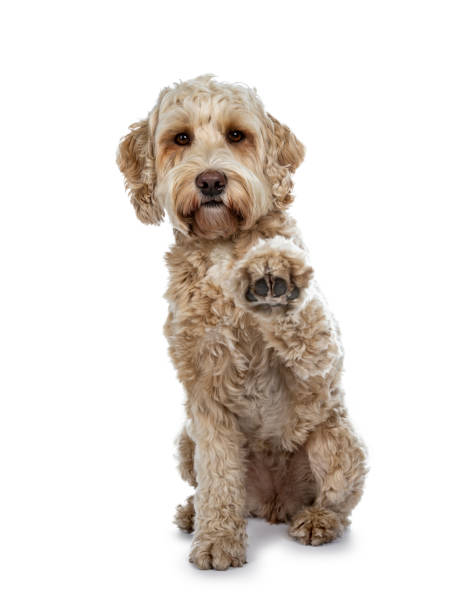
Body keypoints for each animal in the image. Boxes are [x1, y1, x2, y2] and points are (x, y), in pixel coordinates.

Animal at [117, 75, 366, 568]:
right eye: (181, 138)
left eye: (237, 135)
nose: (211, 180)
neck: (221, 246)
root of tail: (274, 503)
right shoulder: (204, 394)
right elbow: (217, 477)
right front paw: (216, 539)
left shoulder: (318, 361)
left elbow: (306, 326)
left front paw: (274, 273)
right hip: (186, 441)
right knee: (215, 486)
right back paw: (193, 512)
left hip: (337, 437)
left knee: (338, 501)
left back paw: (317, 520)